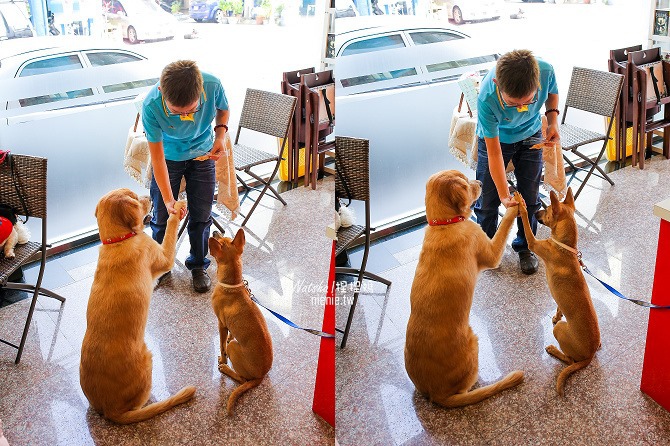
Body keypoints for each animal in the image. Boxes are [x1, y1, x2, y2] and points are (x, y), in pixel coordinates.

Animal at [79, 189, 194, 426]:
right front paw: (177, 208)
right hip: (148, 358)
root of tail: (111, 410)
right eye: (134, 197)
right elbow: (170, 231)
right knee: (140, 403)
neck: (117, 241)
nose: (150, 197)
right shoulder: (163, 256)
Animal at [210, 228, 272, 416]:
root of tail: (261, 376)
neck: (232, 285)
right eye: (226, 238)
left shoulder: (221, 324)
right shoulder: (228, 325)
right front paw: (232, 335)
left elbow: (222, 346)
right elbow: (231, 333)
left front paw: (223, 361)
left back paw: (226, 369)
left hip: (234, 351)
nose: (214, 231)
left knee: (242, 379)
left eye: (221, 239)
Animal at [406, 170, 528, 408]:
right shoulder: (490, 252)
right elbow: (503, 226)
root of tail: (438, 394)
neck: (444, 223)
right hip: (475, 341)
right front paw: (513, 204)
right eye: (466, 183)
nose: (480, 182)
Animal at [516, 190, 600, 396]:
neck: (564, 246)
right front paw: (556, 314)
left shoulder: (533, 243)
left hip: (560, 331)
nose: (536, 210)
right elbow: (558, 306)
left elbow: (527, 227)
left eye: (546, 211)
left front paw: (521, 205)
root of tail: (590, 355)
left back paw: (554, 350)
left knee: (569, 360)